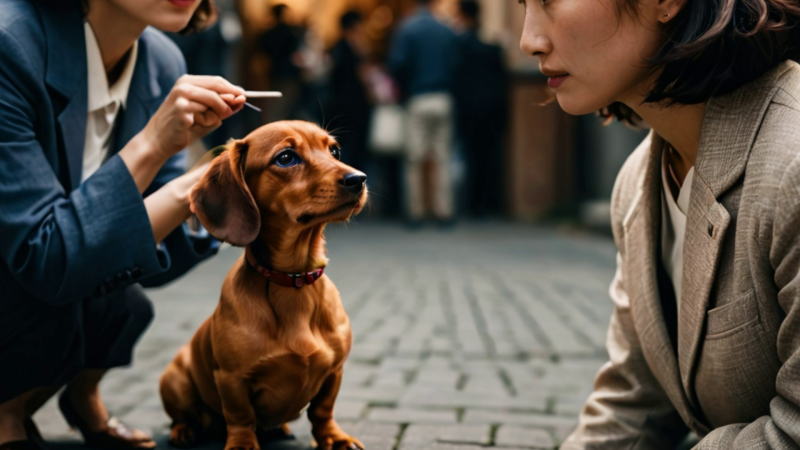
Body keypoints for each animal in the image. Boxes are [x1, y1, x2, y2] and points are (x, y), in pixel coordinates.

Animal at [159, 120, 368, 450]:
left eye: (334, 150)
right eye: (286, 158)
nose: (359, 178)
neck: (294, 281)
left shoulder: (334, 371)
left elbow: (323, 410)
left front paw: (334, 438)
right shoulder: (231, 378)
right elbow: (240, 415)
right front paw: (243, 443)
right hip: (174, 379)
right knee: (184, 415)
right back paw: (183, 431)